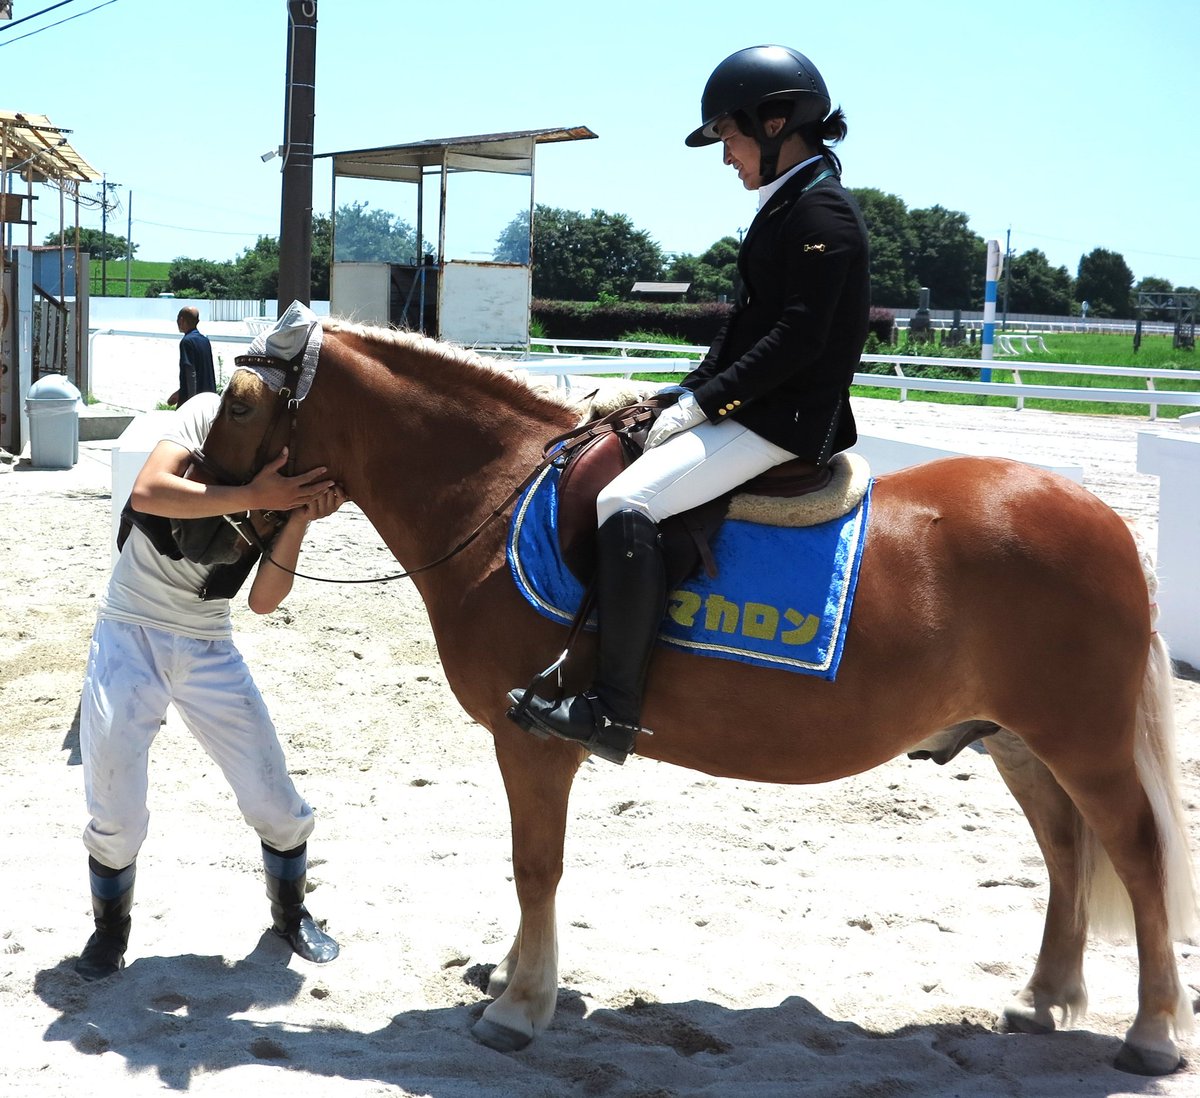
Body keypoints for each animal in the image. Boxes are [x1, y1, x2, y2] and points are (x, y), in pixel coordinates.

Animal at [200, 317, 1197, 1075]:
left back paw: (1151, 1033)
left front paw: (521, 1007)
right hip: (1017, 741)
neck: (496, 492)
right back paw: (1042, 999)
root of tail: (1102, 519)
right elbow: (531, 870)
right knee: (1065, 851)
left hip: (1084, 741)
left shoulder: (535, 740)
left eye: (241, 403)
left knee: (1137, 855)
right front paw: (516, 979)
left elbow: (536, 866)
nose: (202, 538)